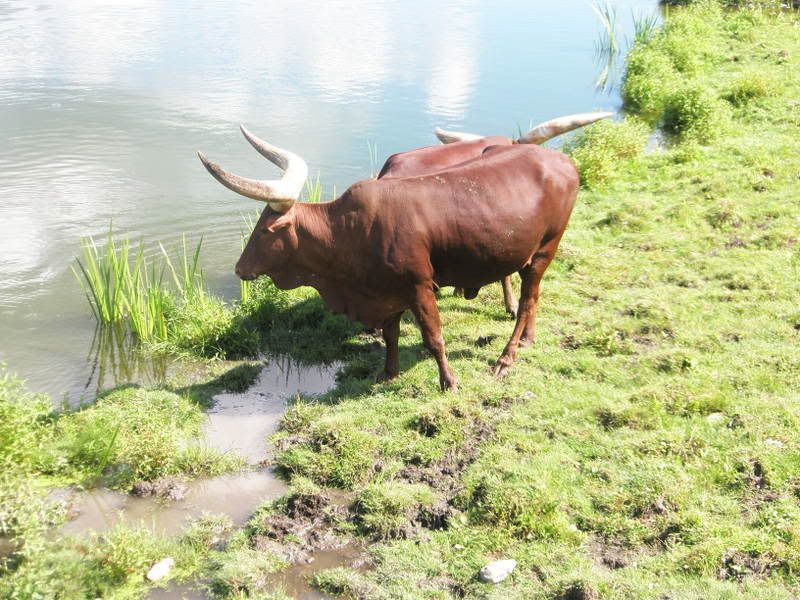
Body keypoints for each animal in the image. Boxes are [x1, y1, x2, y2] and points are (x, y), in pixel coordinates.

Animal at [197, 113, 609, 391]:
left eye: (268, 230)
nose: (239, 268)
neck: (349, 233)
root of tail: (562, 161)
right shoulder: (387, 290)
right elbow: (391, 333)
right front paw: (388, 373)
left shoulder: (419, 286)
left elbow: (433, 337)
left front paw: (449, 382)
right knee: (533, 299)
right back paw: (527, 341)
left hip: (544, 251)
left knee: (526, 303)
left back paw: (506, 358)